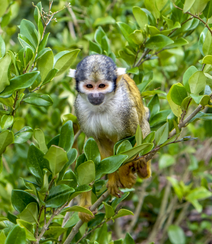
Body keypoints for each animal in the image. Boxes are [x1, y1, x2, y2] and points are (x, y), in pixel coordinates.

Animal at [69, 54, 151, 222]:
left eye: (101, 86)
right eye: (89, 86)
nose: (95, 95)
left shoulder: (124, 108)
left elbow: (131, 136)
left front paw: (125, 175)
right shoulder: (80, 108)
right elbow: (100, 142)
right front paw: (113, 178)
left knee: (141, 123)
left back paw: (141, 165)